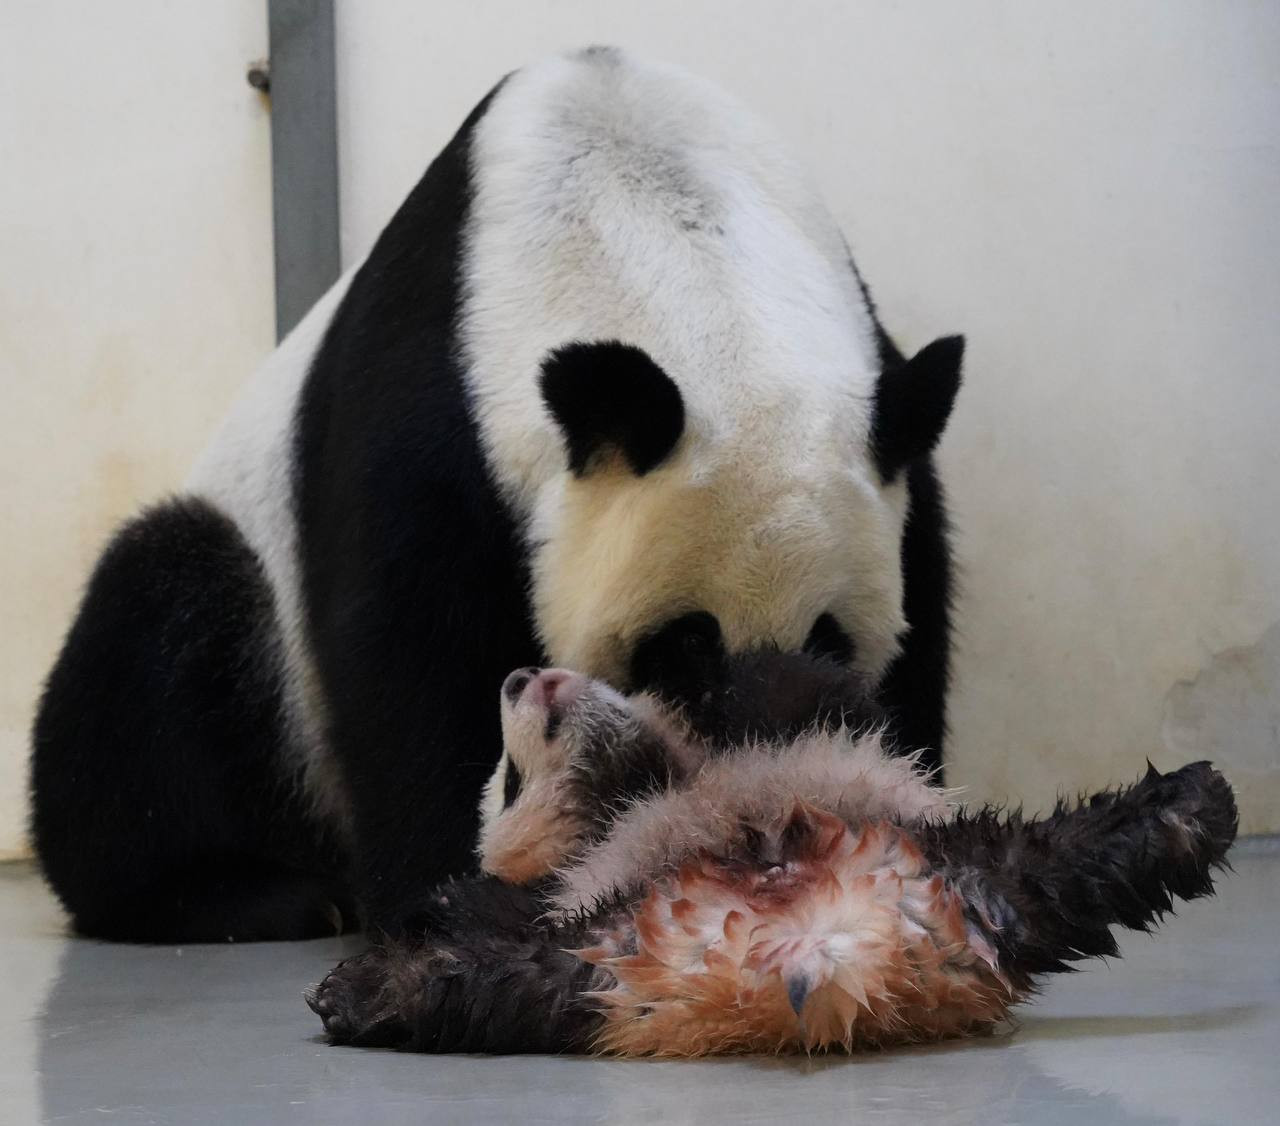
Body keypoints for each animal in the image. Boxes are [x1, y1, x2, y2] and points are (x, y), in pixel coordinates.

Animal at [30, 46, 962, 941]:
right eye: (686, 641)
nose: (758, 742)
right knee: (159, 639)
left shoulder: (891, 426)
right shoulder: (434, 407)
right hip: (252, 618)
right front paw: (443, 899)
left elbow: (920, 636)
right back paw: (249, 899)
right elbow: (410, 652)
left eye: (831, 638)